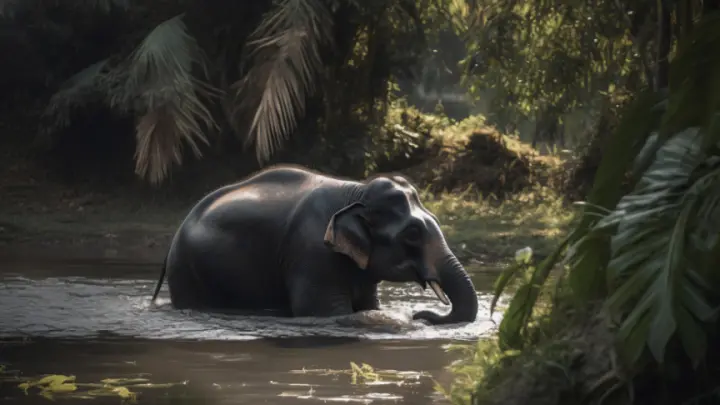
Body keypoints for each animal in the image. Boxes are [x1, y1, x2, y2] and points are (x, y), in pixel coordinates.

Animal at [150, 165, 478, 325]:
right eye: (412, 233)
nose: (419, 315)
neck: (356, 191)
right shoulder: (312, 252)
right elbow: (326, 312)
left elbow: (368, 306)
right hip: (187, 271)